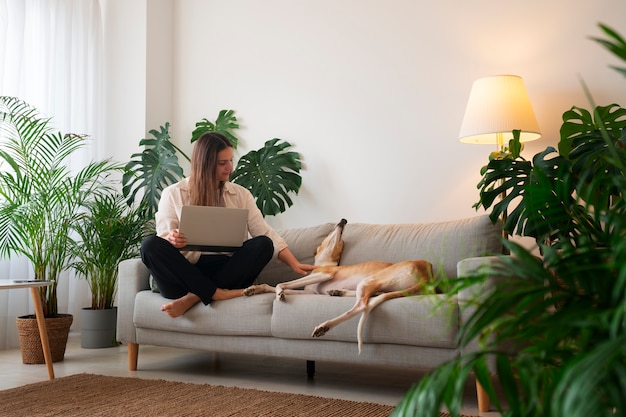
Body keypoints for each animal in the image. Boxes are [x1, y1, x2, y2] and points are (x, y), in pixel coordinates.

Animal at [241, 218, 432, 352]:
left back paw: (324, 326)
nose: (343, 220)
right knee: (370, 297)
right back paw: (337, 292)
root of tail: (426, 274)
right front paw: (254, 288)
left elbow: (282, 283)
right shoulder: (311, 292)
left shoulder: (324, 274)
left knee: (361, 306)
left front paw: (280, 293)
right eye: (334, 235)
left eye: (341, 241)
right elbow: (273, 286)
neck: (325, 263)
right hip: (376, 285)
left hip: (371, 280)